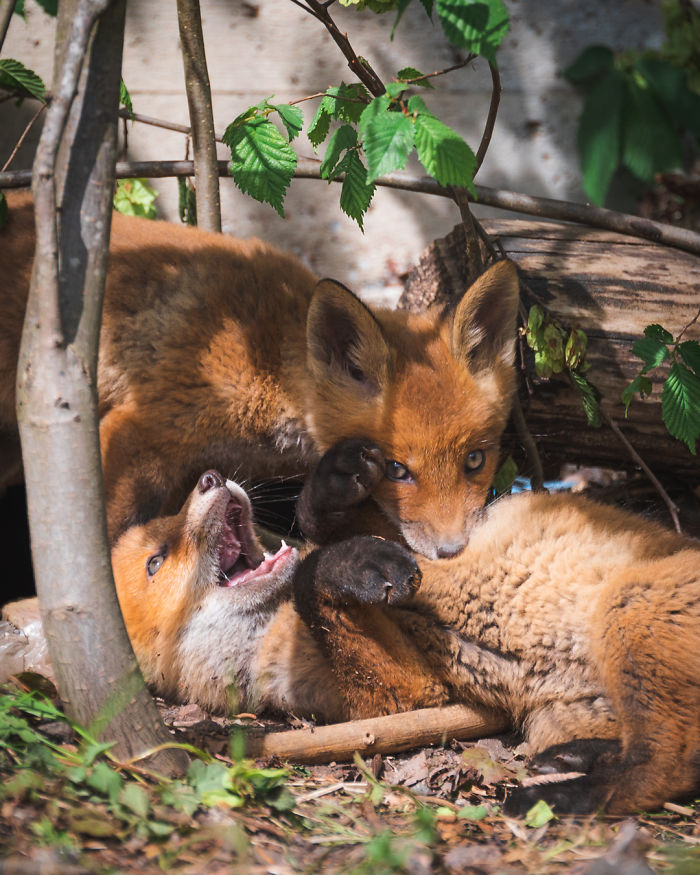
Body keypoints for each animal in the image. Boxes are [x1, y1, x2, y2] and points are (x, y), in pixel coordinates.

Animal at [0, 190, 520, 556]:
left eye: (475, 460)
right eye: (398, 470)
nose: (452, 552)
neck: (266, 368)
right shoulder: (136, 431)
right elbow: (109, 542)